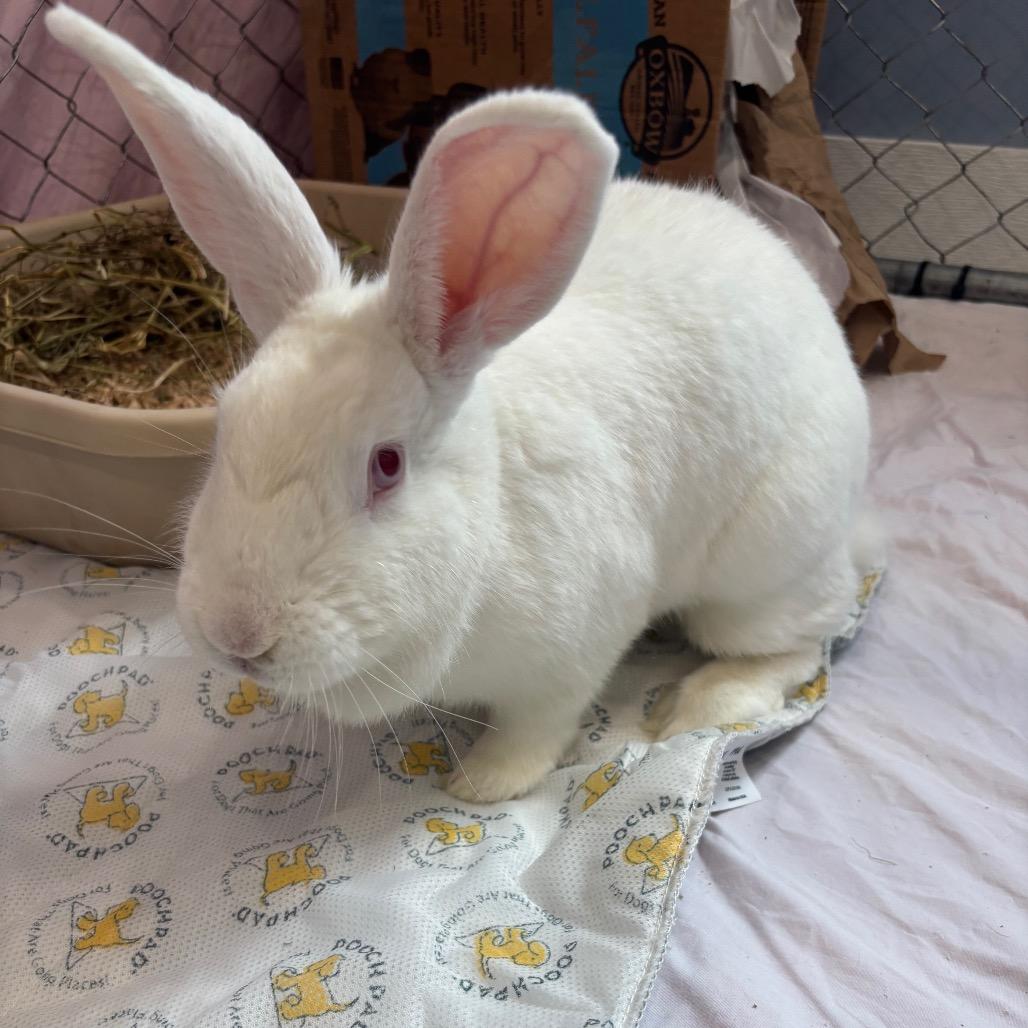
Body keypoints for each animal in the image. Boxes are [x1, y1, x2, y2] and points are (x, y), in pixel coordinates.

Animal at [47, 6, 880, 803]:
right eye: (226, 431)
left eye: (386, 465)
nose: (237, 637)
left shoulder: (577, 646)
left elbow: (537, 726)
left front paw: (482, 785)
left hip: (761, 568)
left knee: (806, 642)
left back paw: (696, 706)